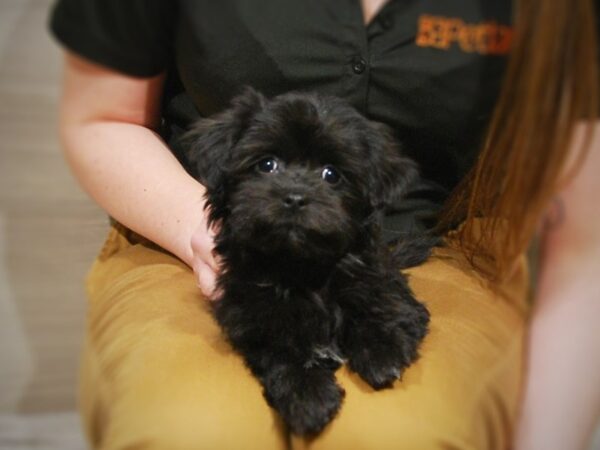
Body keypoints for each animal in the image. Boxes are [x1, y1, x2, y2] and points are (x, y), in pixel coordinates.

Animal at [180, 89, 434, 436]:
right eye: (267, 165)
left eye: (332, 175)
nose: (295, 196)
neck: (302, 268)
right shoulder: (249, 313)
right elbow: (280, 351)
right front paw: (307, 396)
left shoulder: (375, 283)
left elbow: (377, 311)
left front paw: (382, 353)